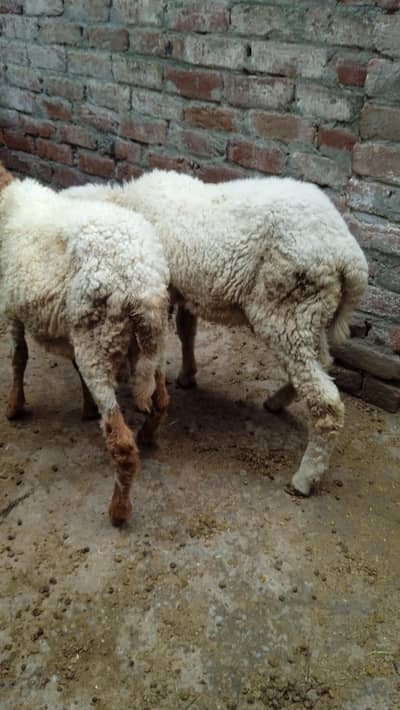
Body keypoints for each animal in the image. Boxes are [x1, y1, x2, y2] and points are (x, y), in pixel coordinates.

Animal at [0, 164, 170, 526]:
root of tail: (143, 284)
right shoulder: (70, 325)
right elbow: (69, 365)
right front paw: (86, 406)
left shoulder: (10, 308)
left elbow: (19, 357)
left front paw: (14, 406)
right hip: (149, 342)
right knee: (161, 400)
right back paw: (148, 436)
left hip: (99, 342)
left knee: (122, 446)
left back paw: (118, 511)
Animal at [64, 170, 369, 496]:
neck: (126, 204)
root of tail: (351, 259)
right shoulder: (181, 289)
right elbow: (187, 330)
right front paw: (187, 375)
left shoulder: (160, 291)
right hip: (311, 314)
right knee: (322, 363)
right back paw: (277, 401)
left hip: (289, 310)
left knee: (326, 401)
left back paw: (305, 477)